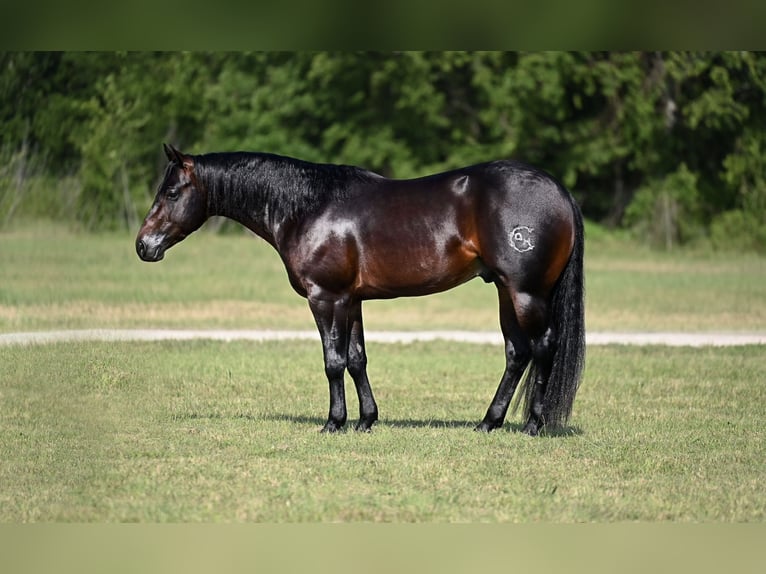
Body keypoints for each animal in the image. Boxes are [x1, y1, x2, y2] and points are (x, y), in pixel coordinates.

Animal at [136, 144, 585, 435]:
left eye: (171, 192)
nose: (144, 246)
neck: (309, 206)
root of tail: (559, 190)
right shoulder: (351, 300)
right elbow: (357, 359)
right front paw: (366, 419)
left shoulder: (326, 297)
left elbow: (333, 362)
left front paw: (333, 422)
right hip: (505, 292)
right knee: (517, 352)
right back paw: (488, 422)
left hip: (526, 293)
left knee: (543, 346)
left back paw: (532, 425)